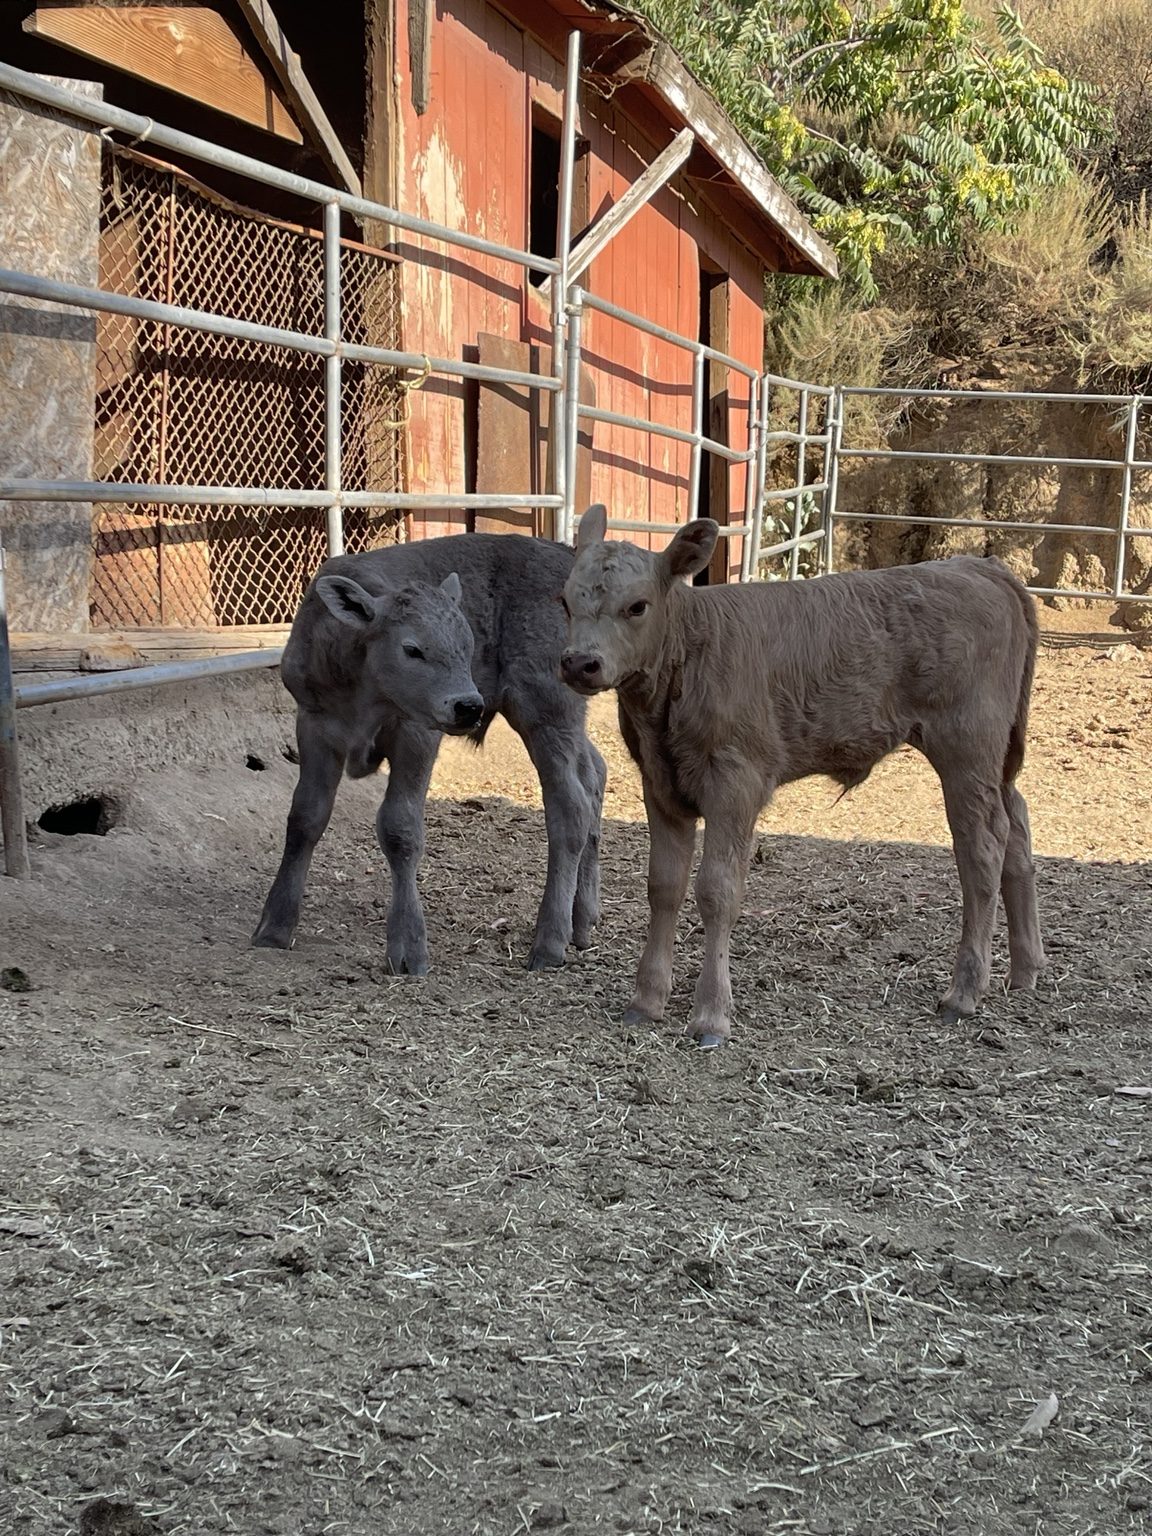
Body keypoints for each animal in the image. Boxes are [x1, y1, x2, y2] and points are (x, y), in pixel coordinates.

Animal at [254, 533, 606, 974]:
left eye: (468, 644)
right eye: (412, 649)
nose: (469, 706)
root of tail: (565, 555)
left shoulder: (416, 734)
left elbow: (400, 828)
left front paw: (408, 948)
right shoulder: (315, 726)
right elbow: (305, 817)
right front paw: (274, 925)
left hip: (545, 711)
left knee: (570, 808)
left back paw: (549, 941)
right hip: (565, 721)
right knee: (594, 774)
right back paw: (582, 919)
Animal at [559, 505, 1043, 1047]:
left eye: (637, 606)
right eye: (565, 601)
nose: (580, 663)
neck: (689, 655)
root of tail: (980, 567)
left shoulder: (736, 782)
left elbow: (717, 890)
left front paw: (711, 1015)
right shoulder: (660, 783)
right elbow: (664, 886)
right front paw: (646, 1000)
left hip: (967, 748)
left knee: (981, 848)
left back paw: (964, 992)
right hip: (998, 757)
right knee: (1016, 825)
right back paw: (1024, 969)